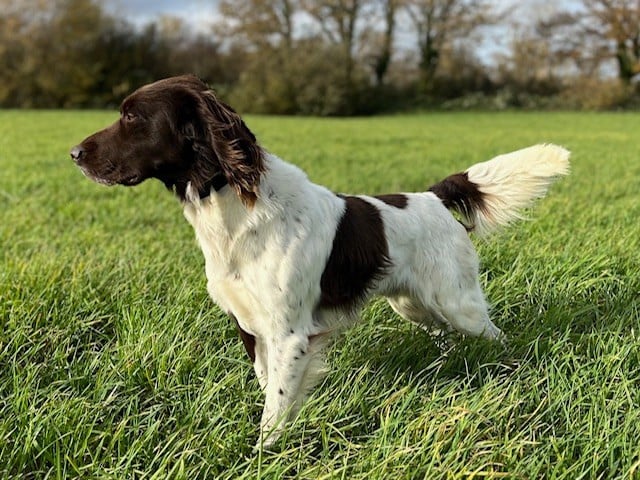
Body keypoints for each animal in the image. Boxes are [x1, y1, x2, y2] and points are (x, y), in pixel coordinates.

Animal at [71, 74, 568, 446]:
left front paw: (262, 455)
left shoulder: (290, 333)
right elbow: (269, 385)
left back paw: (508, 371)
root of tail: (434, 197)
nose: (74, 154)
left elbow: (275, 405)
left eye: (132, 117)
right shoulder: (251, 326)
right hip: (414, 304)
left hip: (458, 301)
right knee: (446, 335)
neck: (233, 206)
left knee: (495, 336)